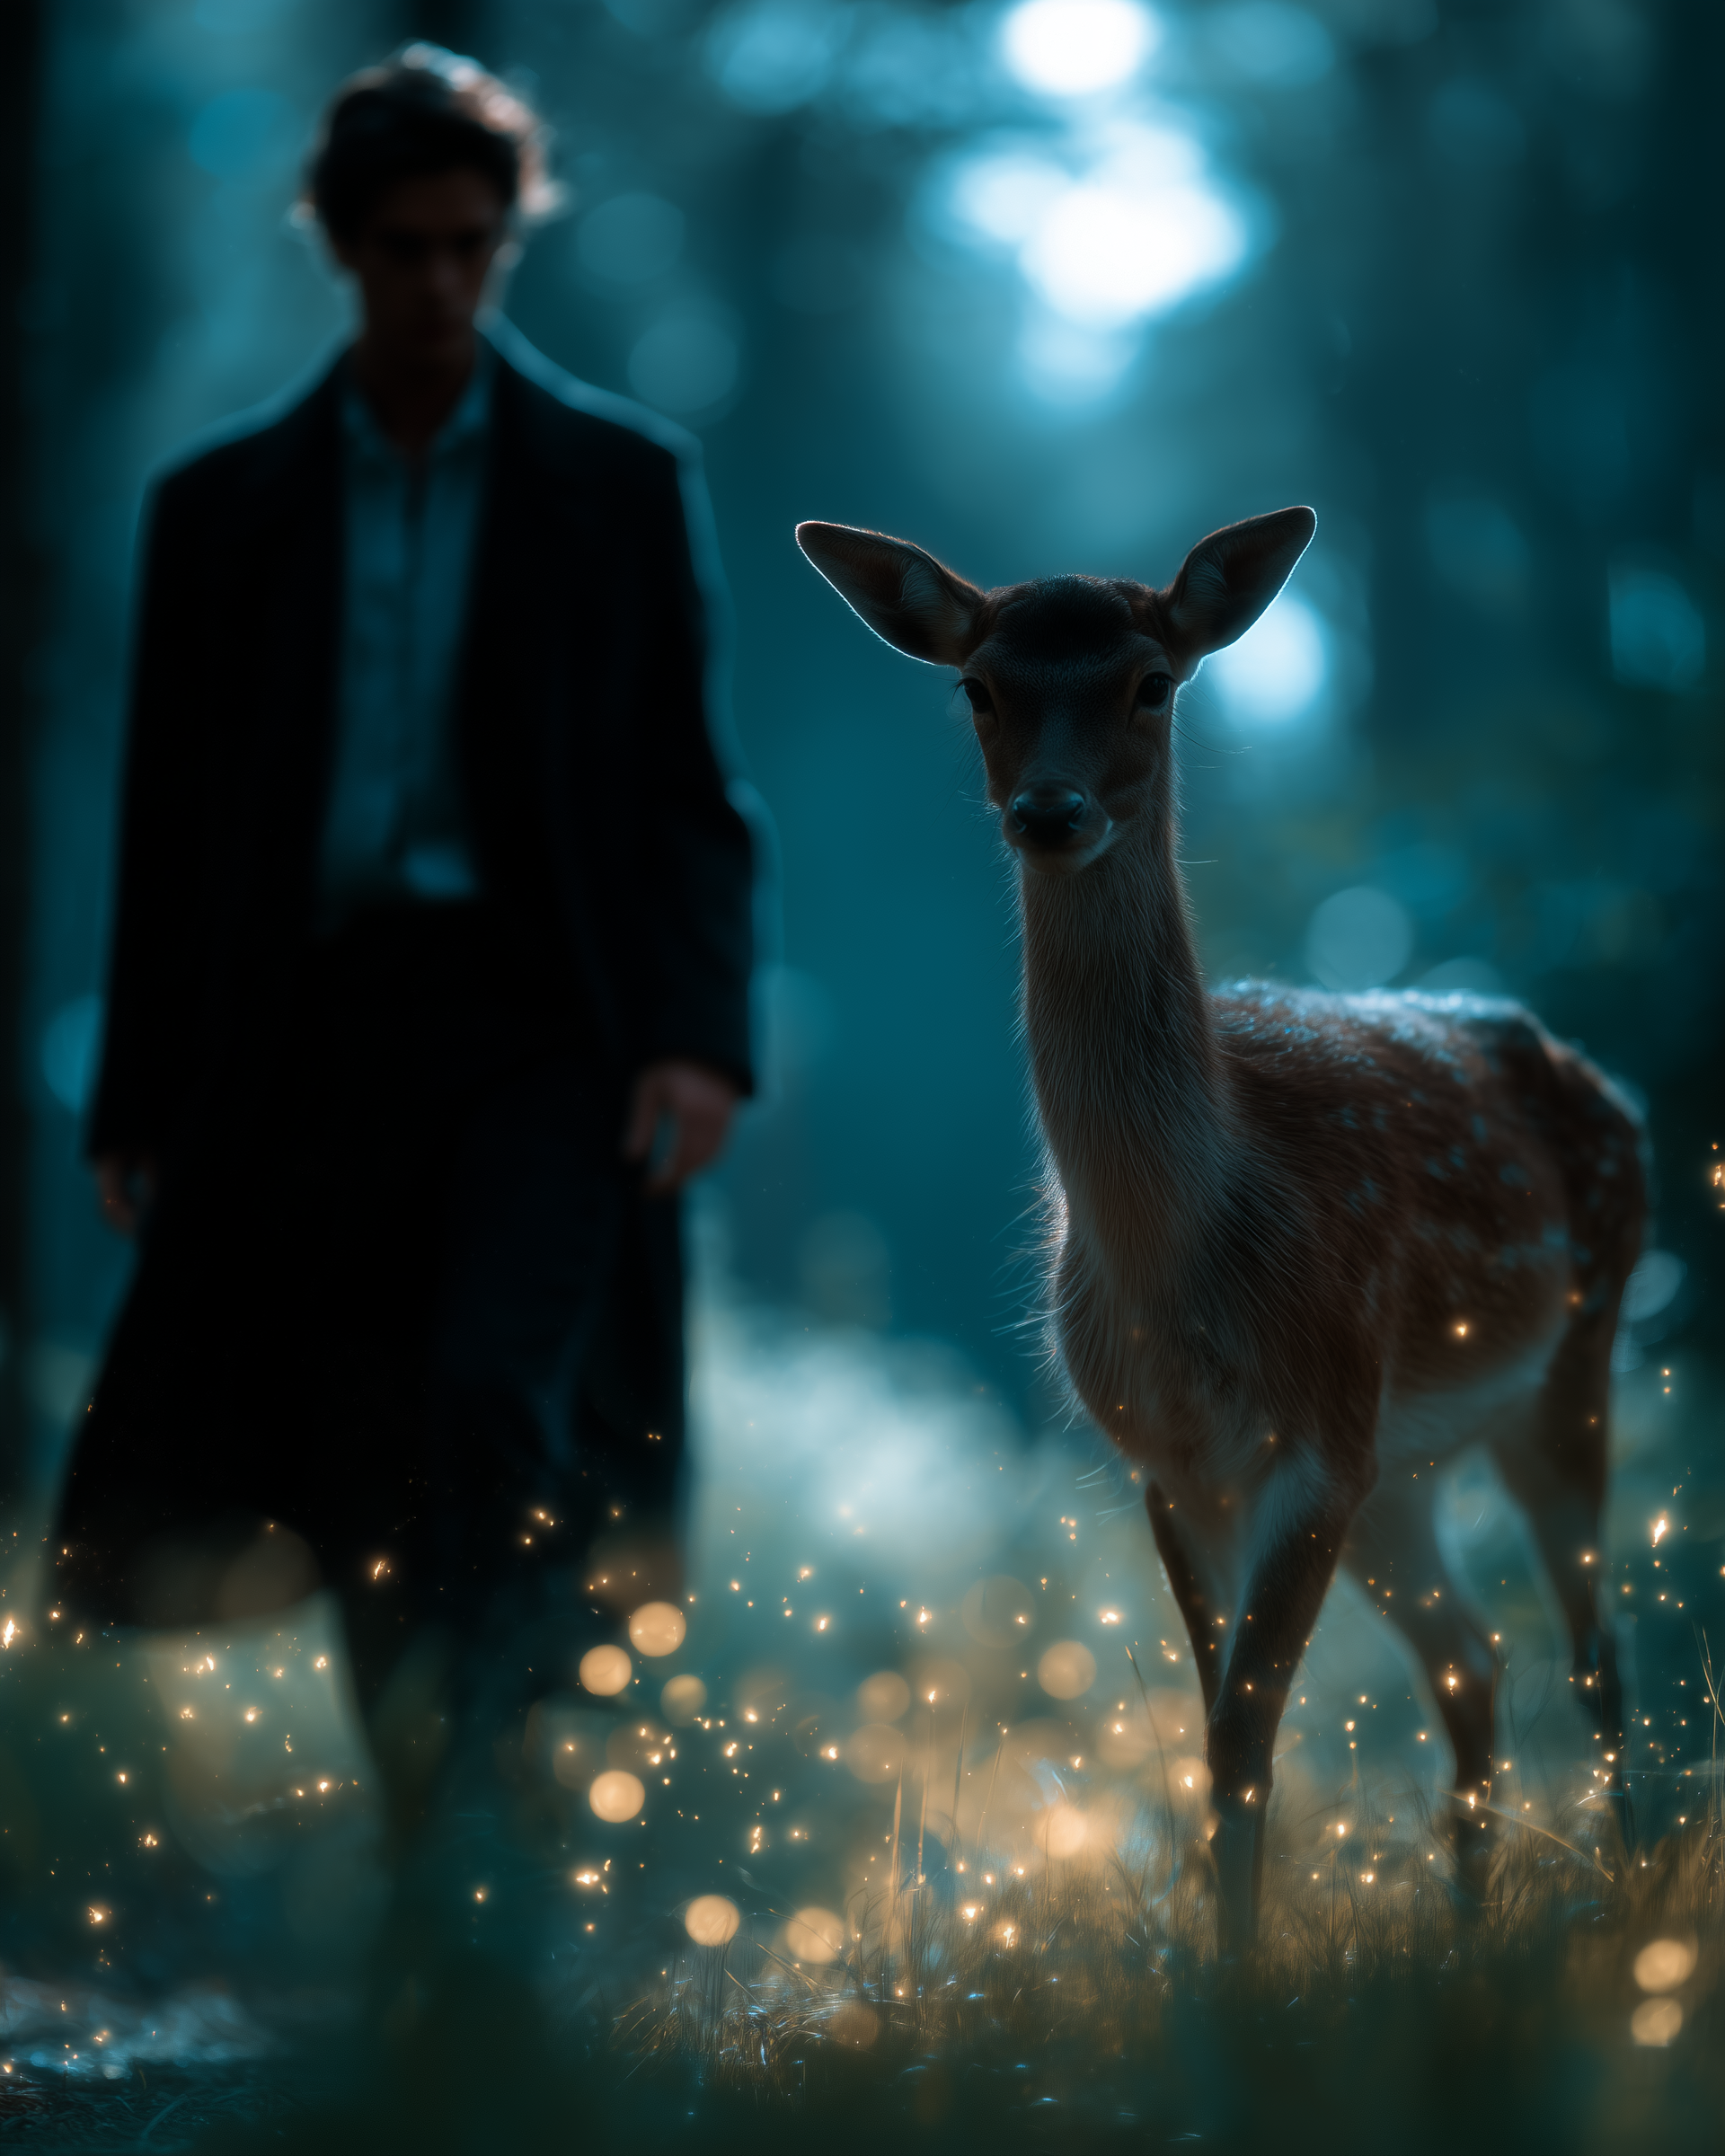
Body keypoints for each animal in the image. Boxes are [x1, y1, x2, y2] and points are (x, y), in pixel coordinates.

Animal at [796, 507, 1644, 1953]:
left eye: (1153, 680)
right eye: (979, 687)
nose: (1049, 810)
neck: (1184, 1253)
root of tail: (1616, 1097)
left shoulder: (1315, 1433)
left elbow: (1245, 1736)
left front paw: (1241, 1988)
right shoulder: (1176, 1464)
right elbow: (1217, 1739)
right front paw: (1223, 1969)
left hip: (1565, 1362)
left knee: (1595, 1654)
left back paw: (1628, 1900)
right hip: (1404, 1472)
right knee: (1475, 1661)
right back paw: (1471, 1931)